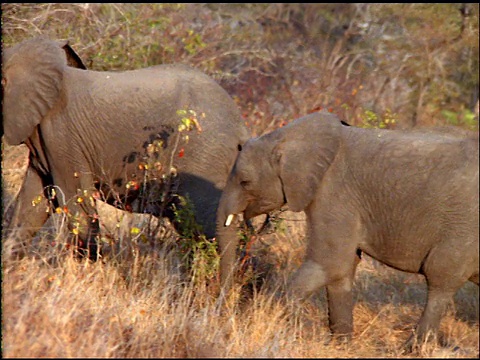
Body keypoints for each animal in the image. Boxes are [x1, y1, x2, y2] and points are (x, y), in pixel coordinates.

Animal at [218, 111, 480, 350]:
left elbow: (330, 263)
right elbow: (342, 270)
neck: (286, 137)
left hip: (462, 228)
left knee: (441, 280)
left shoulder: (333, 192)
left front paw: (274, 324)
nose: (225, 311)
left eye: (244, 182)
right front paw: (342, 345)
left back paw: (411, 350)